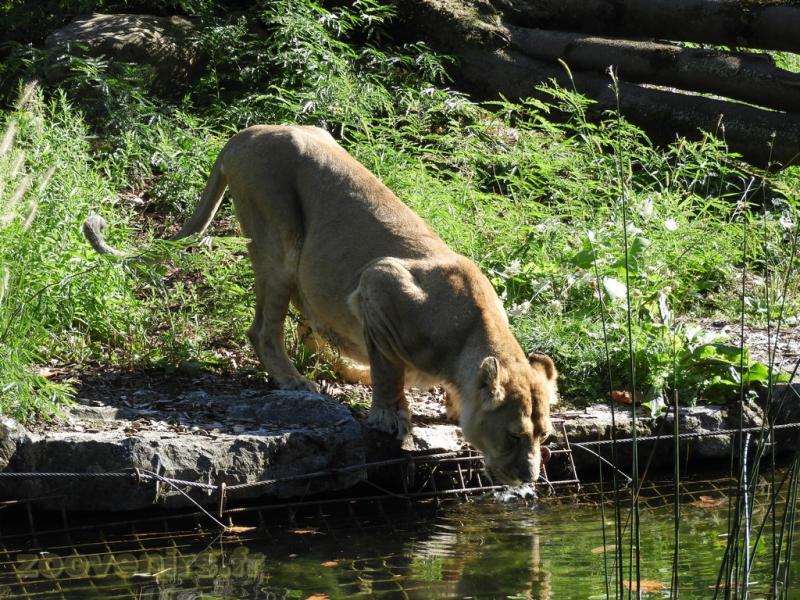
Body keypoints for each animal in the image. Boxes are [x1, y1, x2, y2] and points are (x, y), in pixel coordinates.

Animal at [83, 125, 558, 485]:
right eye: (514, 436)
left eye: (545, 437)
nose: (530, 477)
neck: (471, 337)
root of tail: (246, 132)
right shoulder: (376, 283)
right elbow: (388, 370)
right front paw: (391, 417)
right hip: (278, 240)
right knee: (264, 330)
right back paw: (296, 382)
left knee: (310, 328)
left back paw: (344, 370)